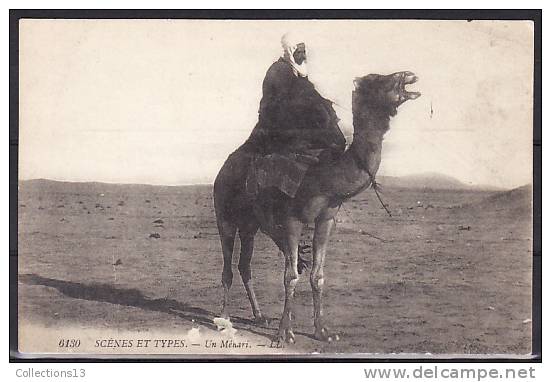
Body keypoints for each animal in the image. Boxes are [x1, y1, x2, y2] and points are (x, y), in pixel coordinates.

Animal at [213, 71, 420, 344]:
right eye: (378, 80)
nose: (408, 75)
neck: (323, 175)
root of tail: (224, 168)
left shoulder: (326, 219)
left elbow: (318, 276)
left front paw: (322, 331)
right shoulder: (291, 220)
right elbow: (290, 276)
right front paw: (285, 333)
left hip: (251, 224)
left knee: (244, 265)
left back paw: (259, 316)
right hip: (224, 214)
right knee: (228, 267)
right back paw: (224, 319)